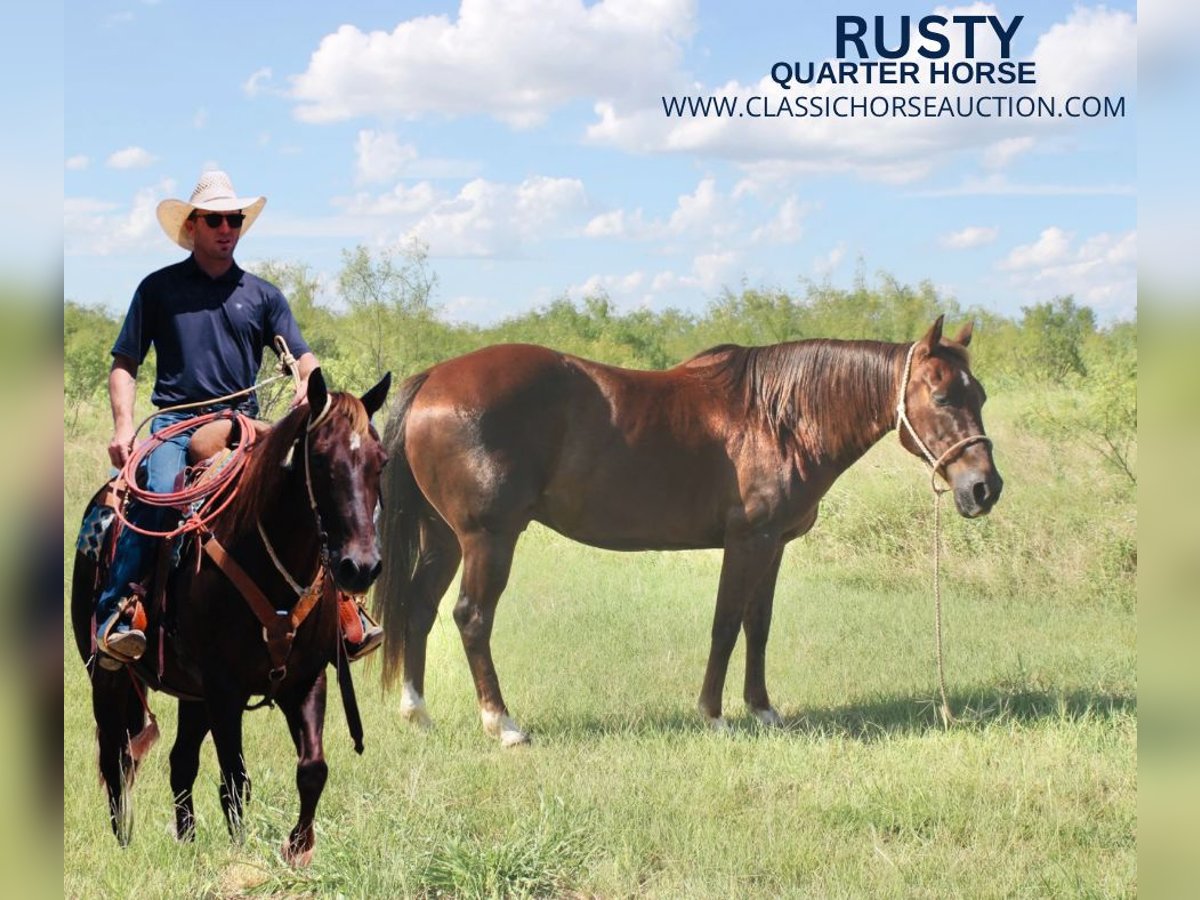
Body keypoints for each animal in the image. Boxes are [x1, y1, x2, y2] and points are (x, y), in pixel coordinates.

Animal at [69, 367, 388, 868]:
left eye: (382, 461)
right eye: (319, 460)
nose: (361, 567)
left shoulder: (306, 679)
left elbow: (312, 769)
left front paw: (298, 850)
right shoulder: (224, 690)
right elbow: (235, 781)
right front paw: (240, 855)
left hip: (191, 693)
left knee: (180, 762)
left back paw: (186, 840)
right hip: (108, 675)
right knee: (116, 760)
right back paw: (124, 842)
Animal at [374, 316, 1003, 748]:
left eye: (980, 394)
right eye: (942, 394)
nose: (984, 488)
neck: (780, 417)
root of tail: (434, 377)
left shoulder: (773, 547)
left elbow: (757, 626)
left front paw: (763, 710)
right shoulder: (748, 542)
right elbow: (726, 625)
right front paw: (714, 715)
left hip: (444, 538)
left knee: (419, 609)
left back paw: (417, 712)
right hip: (488, 538)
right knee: (471, 618)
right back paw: (503, 723)